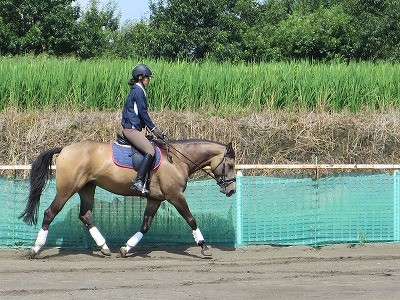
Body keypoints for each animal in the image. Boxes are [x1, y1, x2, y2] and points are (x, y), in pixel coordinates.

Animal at [18, 138, 236, 258]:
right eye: (231, 165)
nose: (232, 190)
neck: (178, 159)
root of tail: (64, 149)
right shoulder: (175, 196)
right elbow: (191, 220)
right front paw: (204, 247)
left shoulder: (155, 199)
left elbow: (145, 226)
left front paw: (126, 247)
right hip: (68, 188)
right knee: (50, 213)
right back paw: (35, 249)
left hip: (87, 188)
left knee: (85, 216)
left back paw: (105, 248)